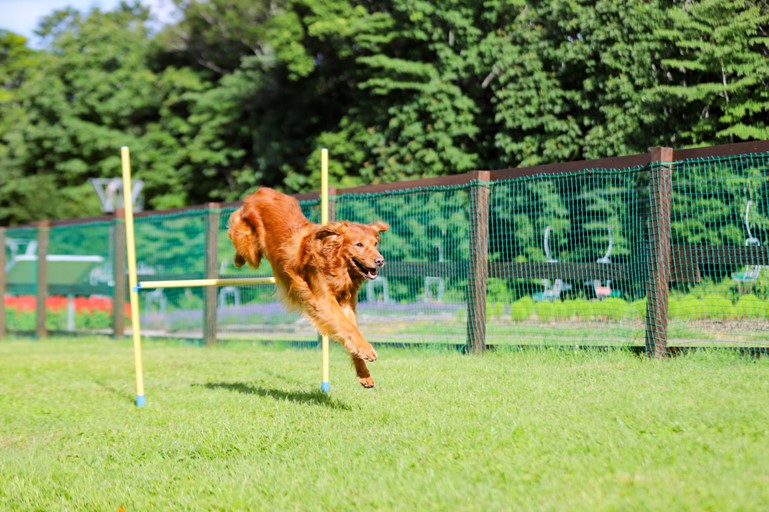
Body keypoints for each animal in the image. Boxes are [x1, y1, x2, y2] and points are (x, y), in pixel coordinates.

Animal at [228, 188, 389, 388]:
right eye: (359, 244)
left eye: (375, 243)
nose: (380, 260)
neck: (335, 263)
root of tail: (262, 191)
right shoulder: (323, 300)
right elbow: (347, 327)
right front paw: (366, 349)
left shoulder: (346, 303)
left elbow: (350, 328)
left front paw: (364, 373)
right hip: (249, 246)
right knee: (238, 237)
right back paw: (237, 259)